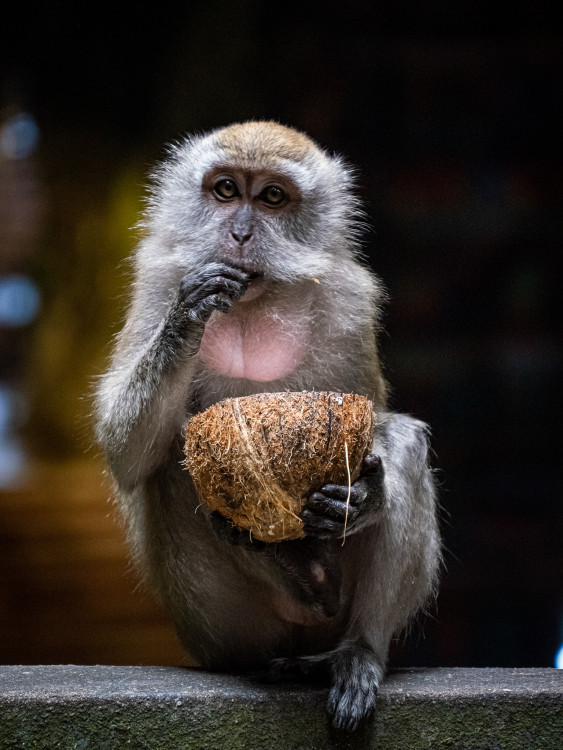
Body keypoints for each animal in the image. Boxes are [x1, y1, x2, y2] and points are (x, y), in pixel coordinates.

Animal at [96, 123, 440, 736]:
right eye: (227, 190)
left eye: (272, 197)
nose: (238, 233)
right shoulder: (156, 280)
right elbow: (125, 450)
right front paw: (189, 315)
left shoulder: (350, 302)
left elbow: (374, 420)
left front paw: (364, 496)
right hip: (225, 632)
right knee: (173, 462)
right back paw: (288, 572)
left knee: (405, 442)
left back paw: (356, 650)